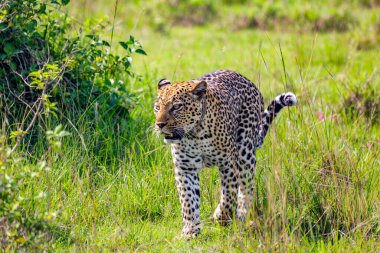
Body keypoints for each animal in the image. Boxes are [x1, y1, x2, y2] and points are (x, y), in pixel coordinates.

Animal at [153, 70, 296, 238]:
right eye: (157, 107)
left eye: (176, 107)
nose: (159, 124)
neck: (195, 134)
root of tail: (245, 78)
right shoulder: (185, 168)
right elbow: (188, 201)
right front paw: (190, 231)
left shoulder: (229, 164)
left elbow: (228, 195)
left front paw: (220, 217)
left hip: (245, 153)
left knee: (246, 186)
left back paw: (242, 214)